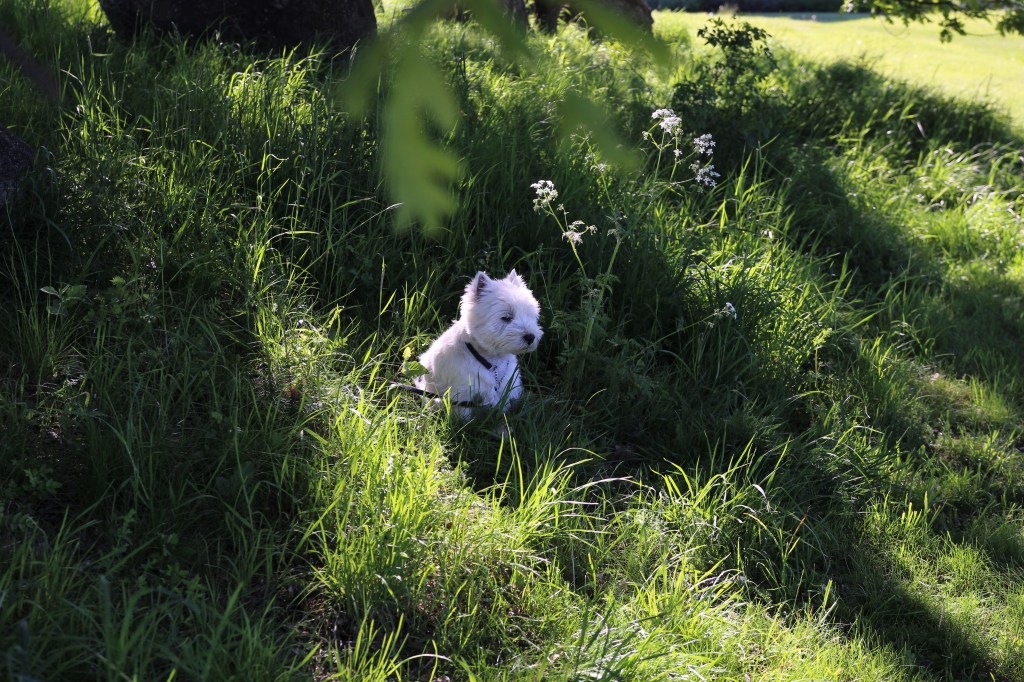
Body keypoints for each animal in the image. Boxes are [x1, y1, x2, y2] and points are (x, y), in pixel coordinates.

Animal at [414, 270, 542, 418]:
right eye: (506, 317)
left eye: (530, 315)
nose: (530, 337)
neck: (492, 361)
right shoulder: (463, 392)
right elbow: (464, 415)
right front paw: (464, 423)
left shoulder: (507, 386)